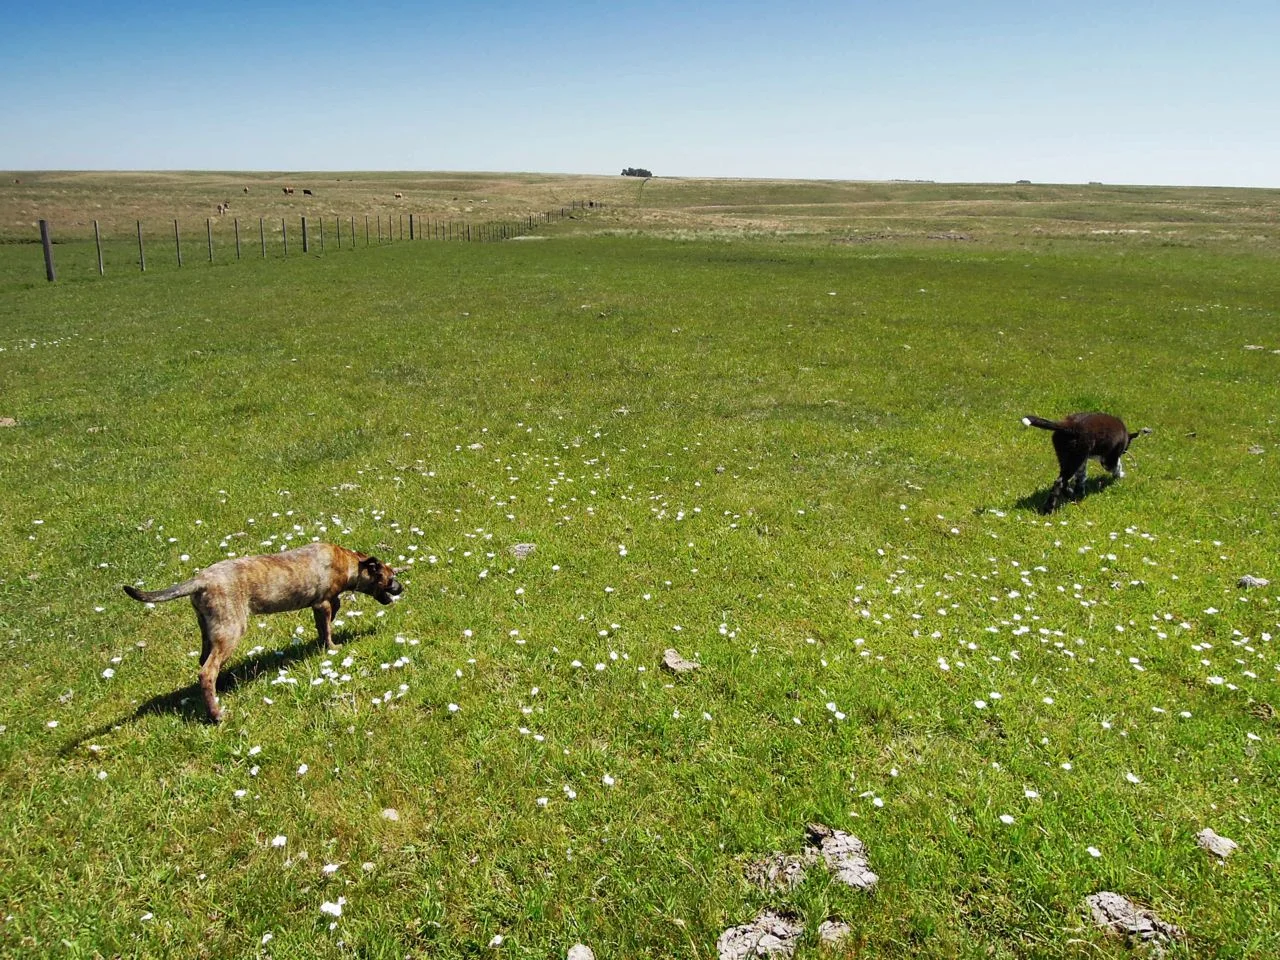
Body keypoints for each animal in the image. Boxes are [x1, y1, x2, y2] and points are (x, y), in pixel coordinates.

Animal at [123, 543, 403, 722]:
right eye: (390, 578)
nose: (402, 588)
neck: (348, 561)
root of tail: (200, 581)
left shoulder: (322, 603)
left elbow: (329, 616)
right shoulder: (322, 602)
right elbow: (328, 624)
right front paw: (331, 646)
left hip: (208, 628)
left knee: (205, 663)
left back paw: (221, 687)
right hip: (231, 629)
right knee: (206, 672)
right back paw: (216, 714)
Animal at [1022, 412, 1150, 513]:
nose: (1124, 451)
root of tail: (1068, 426)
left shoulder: (1084, 461)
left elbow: (1081, 477)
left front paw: (1080, 491)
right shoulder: (1108, 459)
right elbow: (1118, 466)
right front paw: (1120, 476)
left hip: (1068, 457)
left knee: (1064, 481)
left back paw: (1072, 495)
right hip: (1076, 458)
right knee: (1059, 482)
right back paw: (1049, 509)